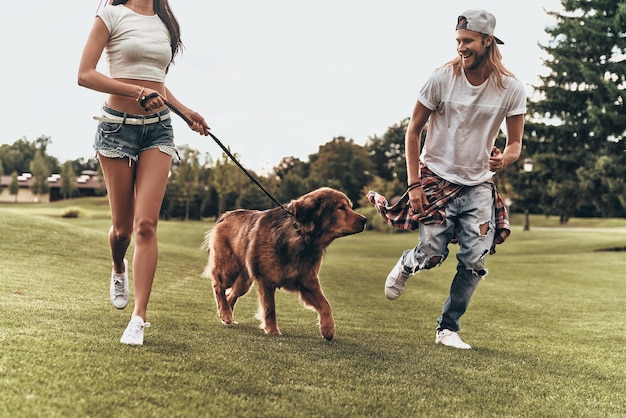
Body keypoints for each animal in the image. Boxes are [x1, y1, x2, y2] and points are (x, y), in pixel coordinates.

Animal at [200, 186, 366, 340]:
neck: (302, 236)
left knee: (231, 295)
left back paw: (226, 316)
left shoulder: (307, 282)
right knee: (218, 287)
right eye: (341, 208)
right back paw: (225, 313)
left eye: (350, 206)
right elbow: (270, 309)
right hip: (229, 268)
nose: (365, 219)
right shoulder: (266, 281)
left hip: (244, 281)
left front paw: (328, 329)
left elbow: (326, 305)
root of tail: (226, 215)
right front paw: (272, 330)